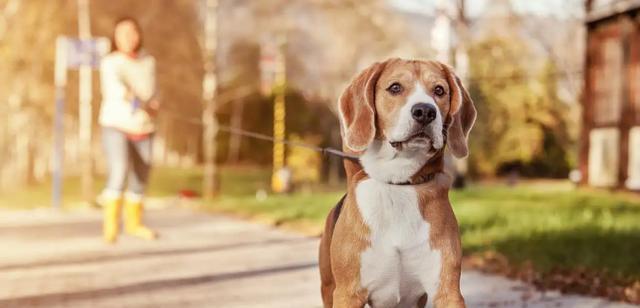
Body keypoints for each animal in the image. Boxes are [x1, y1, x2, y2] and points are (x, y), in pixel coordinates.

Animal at [318, 58, 476, 308]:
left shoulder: (447, 291)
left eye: (439, 90)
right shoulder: (348, 294)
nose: (425, 111)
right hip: (329, 288)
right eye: (395, 88)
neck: (399, 183)